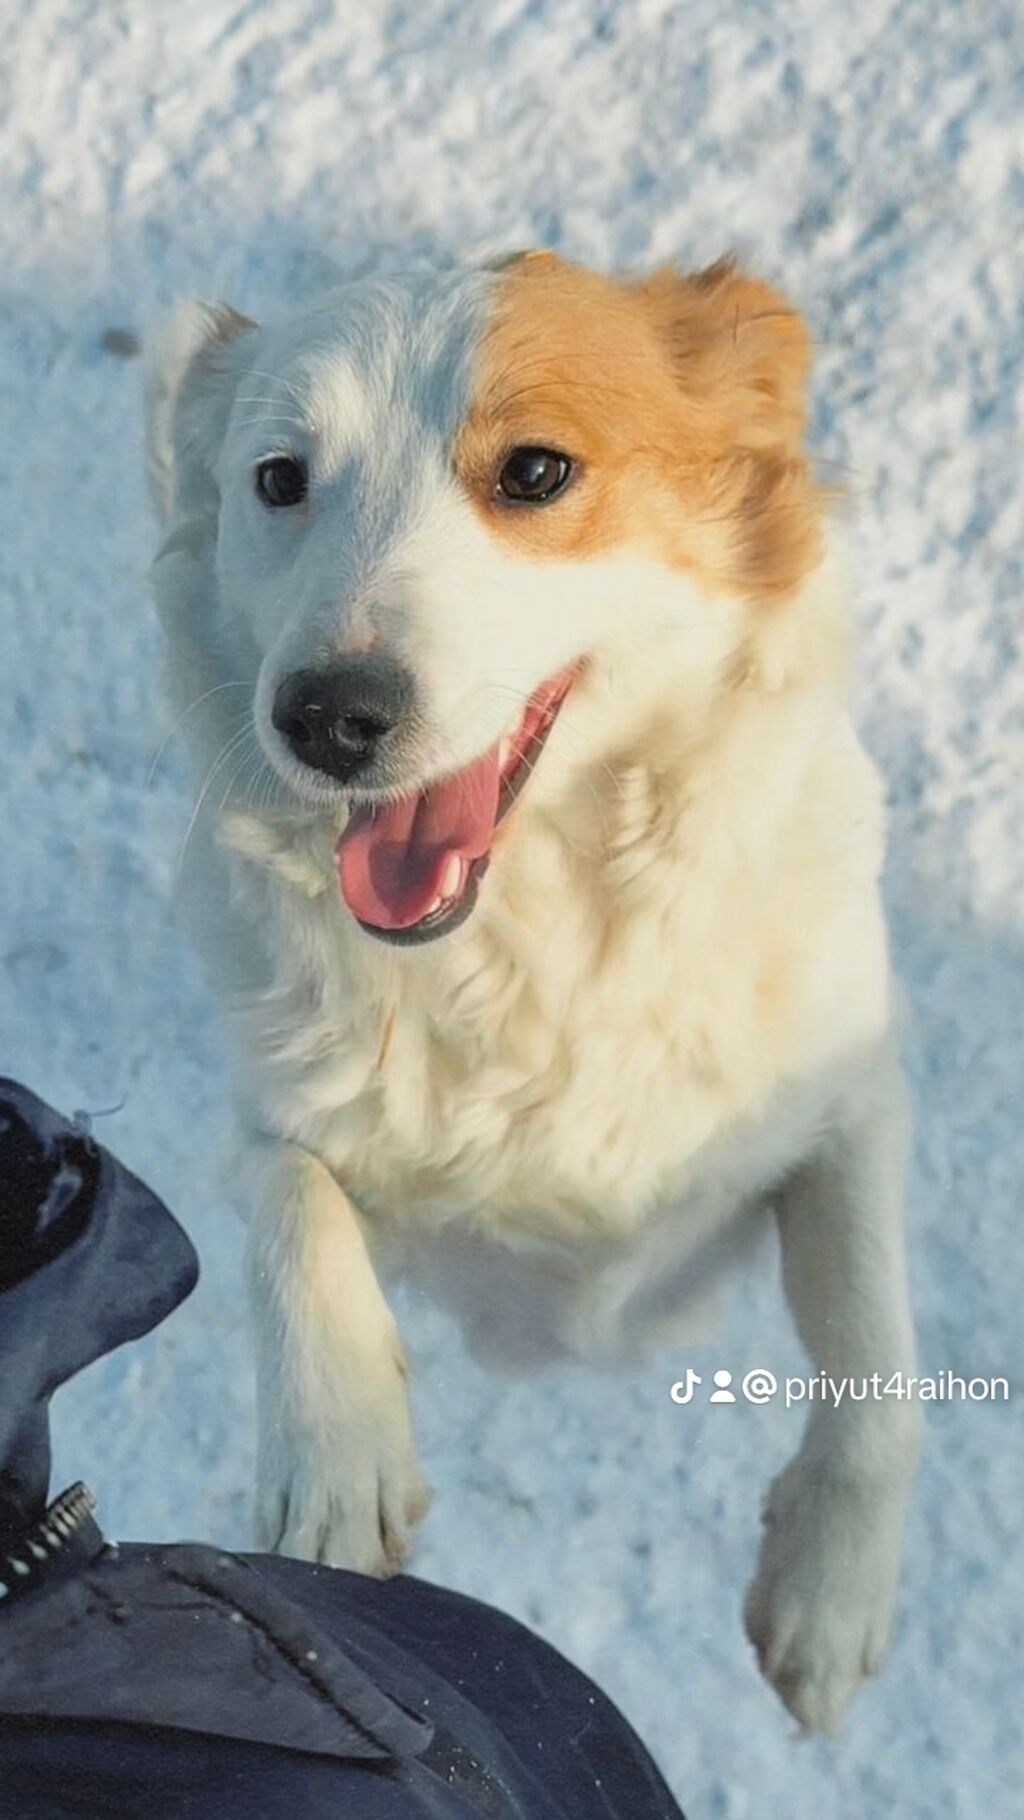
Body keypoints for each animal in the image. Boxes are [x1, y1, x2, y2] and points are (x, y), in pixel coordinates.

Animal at [144, 249, 920, 1725]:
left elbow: (874, 1335)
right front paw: (334, 1460)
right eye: (279, 478)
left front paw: (835, 1583)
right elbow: (288, 1203)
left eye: (537, 470)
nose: (326, 717)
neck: (534, 950)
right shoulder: (283, 1096)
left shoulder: (843, 1098)